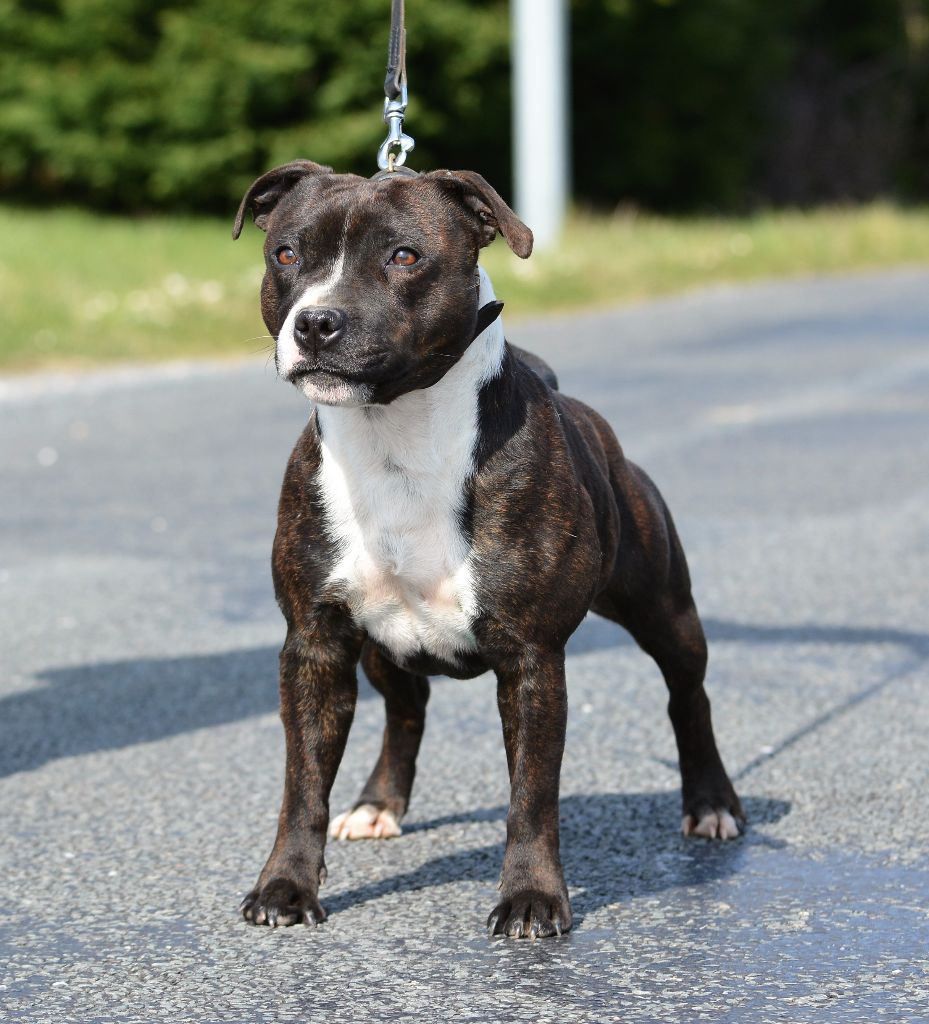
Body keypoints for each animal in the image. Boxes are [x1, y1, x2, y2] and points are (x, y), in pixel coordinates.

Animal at [232, 160, 744, 938]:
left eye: (404, 256)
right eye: (286, 254)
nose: (316, 322)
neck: (394, 441)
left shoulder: (532, 660)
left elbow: (530, 794)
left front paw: (531, 898)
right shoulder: (314, 646)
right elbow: (303, 783)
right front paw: (286, 886)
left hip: (665, 610)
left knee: (688, 695)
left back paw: (712, 803)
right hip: (378, 649)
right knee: (406, 708)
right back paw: (378, 803)